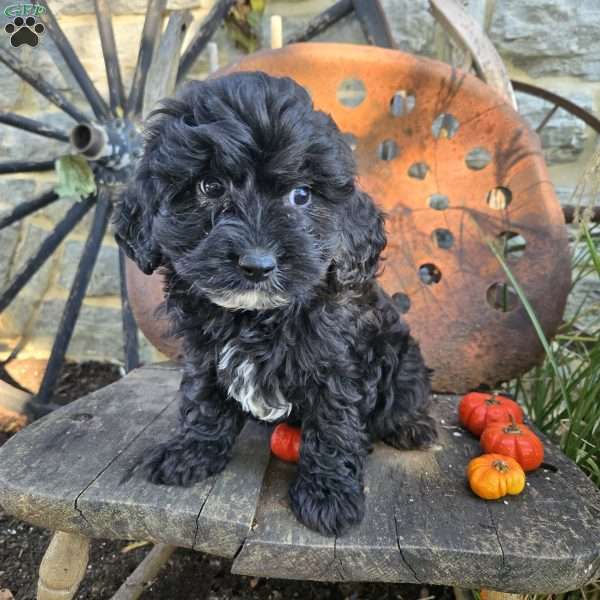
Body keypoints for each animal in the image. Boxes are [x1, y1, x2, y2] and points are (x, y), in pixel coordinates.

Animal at [116, 70, 436, 536]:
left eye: (301, 196)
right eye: (210, 186)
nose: (257, 264)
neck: (256, 315)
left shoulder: (336, 362)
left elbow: (334, 421)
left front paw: (328, 495)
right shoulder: (203, 352)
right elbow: (203, 398)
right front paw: (192, 452)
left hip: (402, 355)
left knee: (407, 391)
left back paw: (412, 426)